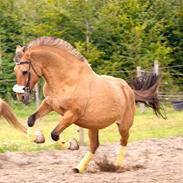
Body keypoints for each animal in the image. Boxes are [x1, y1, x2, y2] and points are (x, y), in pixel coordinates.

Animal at [12, 36, 164, 173]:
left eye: (25, 71)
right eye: (15, 70)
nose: (21, 97)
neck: (66, 80)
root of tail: (128, 89)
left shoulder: (72, 114)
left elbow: (54, 134)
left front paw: (73, 144)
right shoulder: (49, 104)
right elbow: (31, 120)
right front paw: (38, 138)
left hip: (124, 124)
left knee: (123, 140)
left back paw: (117, 166)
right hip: (93, 125)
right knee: (94, 145)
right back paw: (79, 168)